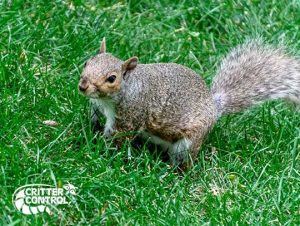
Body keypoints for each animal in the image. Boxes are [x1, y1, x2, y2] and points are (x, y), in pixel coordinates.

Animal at [78, 38, 300, 170]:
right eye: (88, 62)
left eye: (112, 78)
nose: (83, 86)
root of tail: (214, 108)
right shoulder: (98, 106)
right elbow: (95, 119)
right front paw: (90, 131)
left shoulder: (130, 116)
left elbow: (118, 137)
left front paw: (99, 150)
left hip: (188, 143)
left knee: (184, 161)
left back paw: (173, 174)